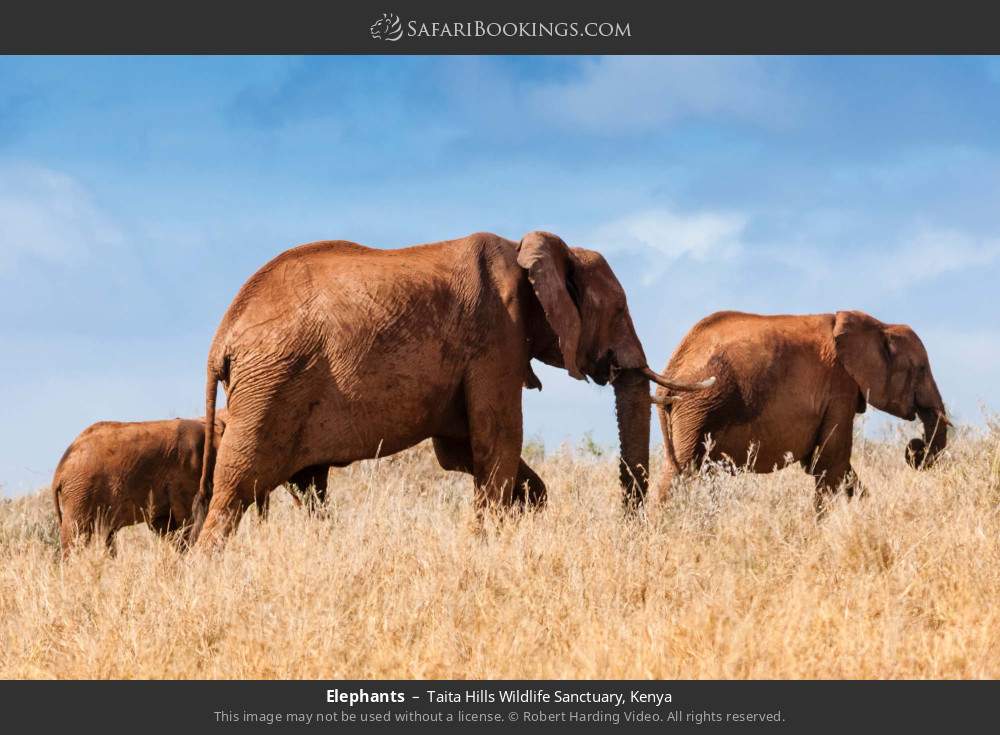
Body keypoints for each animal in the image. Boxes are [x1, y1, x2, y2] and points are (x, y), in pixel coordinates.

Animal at [51, 414, 328, 556]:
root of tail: (59, 472)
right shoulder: (187, 473)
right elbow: (184, 523)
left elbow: (166, 527)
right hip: (81, 492)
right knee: (76, 536)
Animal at [191, 231, 716, 548]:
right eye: (620, 309)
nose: (631, 531)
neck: (529, 249)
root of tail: (221, 338)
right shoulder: (495, 337)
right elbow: (496, 441)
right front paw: (484, 543)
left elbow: (462, 451)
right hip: (271, 385)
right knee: (234, 488)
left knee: (309, 488)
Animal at [652, 310, 948, 512]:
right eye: (921, 369)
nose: (915, 447)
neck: (880, 327)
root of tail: (672, 367)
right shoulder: (840, 386)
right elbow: (831, 461)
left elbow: (829, 464)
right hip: (699, 404)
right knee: (681, 471)